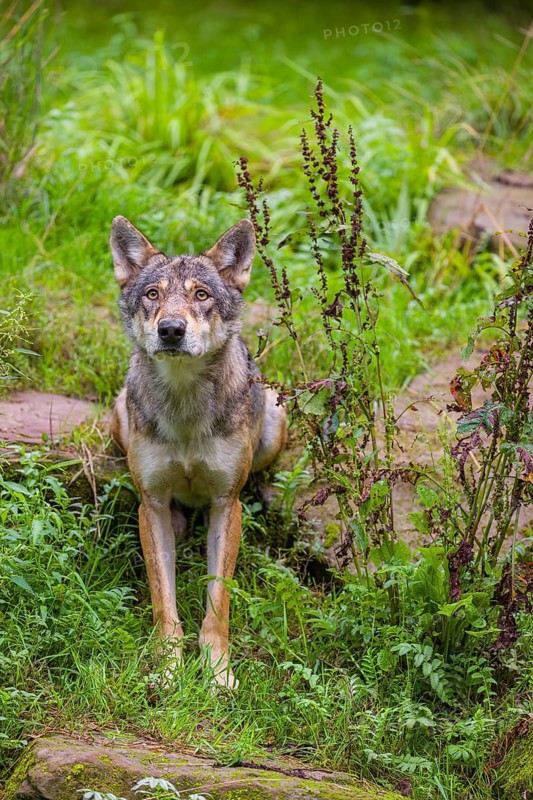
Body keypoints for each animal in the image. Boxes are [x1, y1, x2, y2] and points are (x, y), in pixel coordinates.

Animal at [109, 215, 287, 688]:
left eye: (201, 295)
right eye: (153, 295)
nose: (171, 329)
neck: (185, 407)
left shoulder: (226, 503)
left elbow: (218, 603)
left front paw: (218, 672)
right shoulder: (150, 504)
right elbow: (163, 603)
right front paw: (167, 670)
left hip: (275, 424)